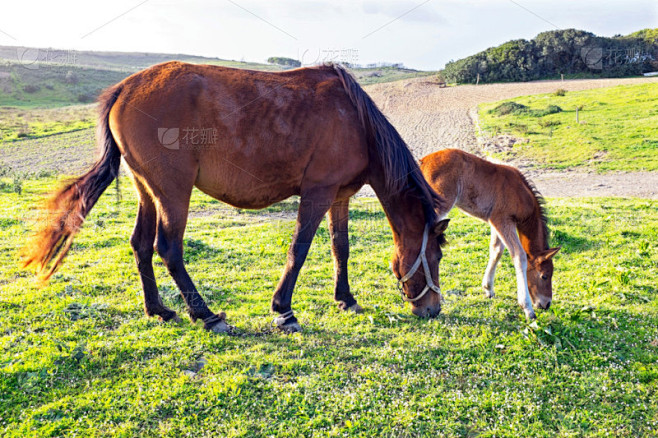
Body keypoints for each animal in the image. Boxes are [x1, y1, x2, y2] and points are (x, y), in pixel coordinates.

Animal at [21, 62, 450, 333]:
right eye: (435, 257)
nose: (433, 310)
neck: (355, 120)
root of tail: (124, 88)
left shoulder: (338, 196)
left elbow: (339, 247)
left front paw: (345, 298)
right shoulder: (317, 193)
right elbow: (299, 249)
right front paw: (283, 311)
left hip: (148, 192)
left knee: (141, 246)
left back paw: (158, 309)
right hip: (173, 193)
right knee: (168, 248)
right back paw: (206, 315)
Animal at [419, 149, 560, 319]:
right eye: (544, 276)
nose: (546, 304)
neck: (521, 193)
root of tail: (424, 161)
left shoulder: (495, 221)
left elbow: (496, 250)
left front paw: (488, 289)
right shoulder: (503, 220)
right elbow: (519, 255)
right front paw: (527, 308)